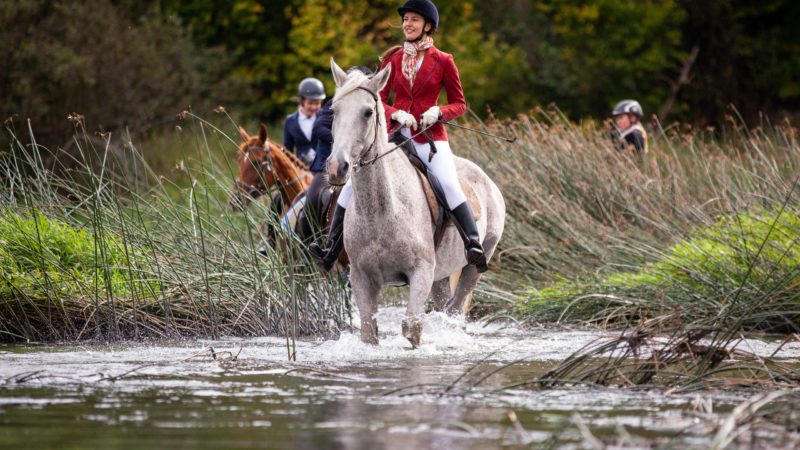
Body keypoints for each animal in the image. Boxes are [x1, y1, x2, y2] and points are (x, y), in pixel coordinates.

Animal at [326, 59, 506, 348]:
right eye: (334, 111)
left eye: (367, 112)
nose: (336, 168)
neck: (382, 210)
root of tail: (486, 178)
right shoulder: (361, 278)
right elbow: (368, 333)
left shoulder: (420, 272)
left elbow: (412, 328)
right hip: (440, 275)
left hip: (477, 261)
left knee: (455, 310)